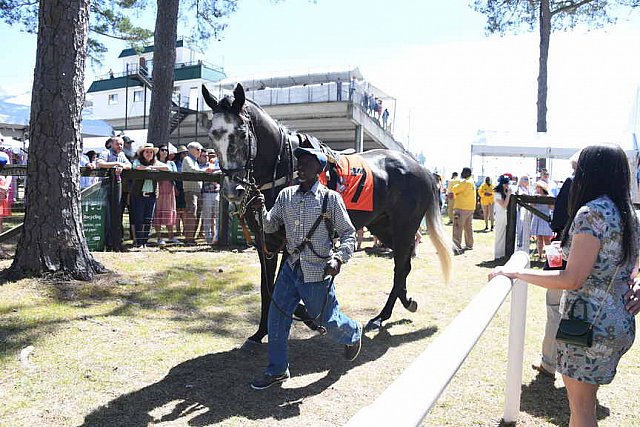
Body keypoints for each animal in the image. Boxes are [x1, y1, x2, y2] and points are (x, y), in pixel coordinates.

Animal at [202, 83, 452, 348]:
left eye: (241, 133)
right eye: (212, 135)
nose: (233, 189)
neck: (285, 169)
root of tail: (422, 170)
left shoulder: (291, 243)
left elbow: (280, 287)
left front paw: (305, 317)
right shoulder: (265, 242)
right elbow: (267, 287)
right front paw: (260, 333)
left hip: (404, 226)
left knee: (400, 266)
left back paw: (381, 316)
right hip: (384, 227)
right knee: (404, 265)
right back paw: (402, 303)